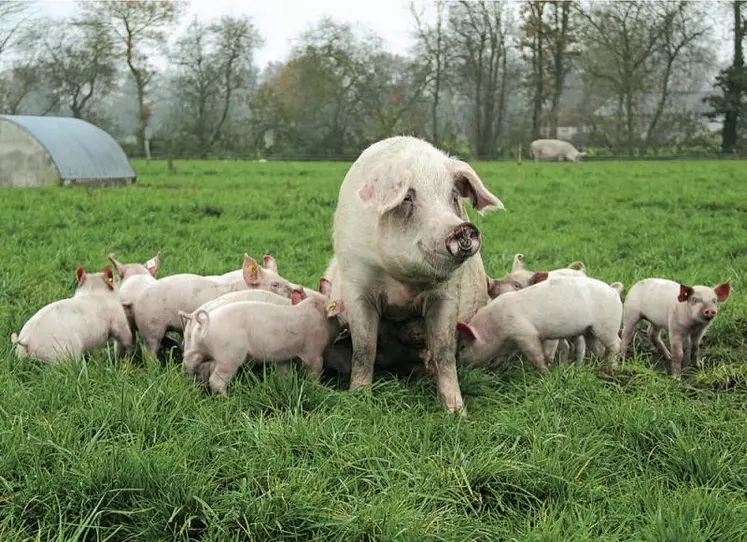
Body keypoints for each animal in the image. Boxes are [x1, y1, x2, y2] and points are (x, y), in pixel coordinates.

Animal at [133, 255, 294, 356]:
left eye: (284, 279)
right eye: (275, 285)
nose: (296, 290)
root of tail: (138, 299)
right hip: (151, 326)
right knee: (149, 351)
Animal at [183, 284, 346, 396]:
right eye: (334, 317)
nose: (342, 327)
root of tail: (204, 322)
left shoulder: (283, 356)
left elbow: (284, 373)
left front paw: (285, 385)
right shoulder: (314, 350)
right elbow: (315, 371)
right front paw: (318, 388)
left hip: (198, 347)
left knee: (190, 360)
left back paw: (191, 382)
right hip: (228, 356)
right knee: (216, 381)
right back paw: (227, 399)